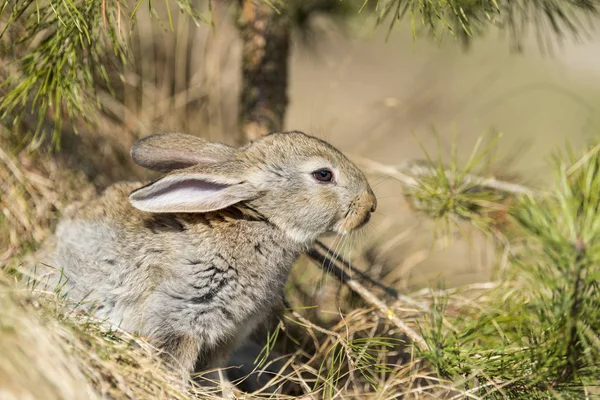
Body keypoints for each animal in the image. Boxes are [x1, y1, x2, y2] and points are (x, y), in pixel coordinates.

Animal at [38, 131, 376, 388]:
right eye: (323, 174)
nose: (370, 206)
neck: (262, 221)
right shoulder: (181, 315)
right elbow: (175, 361)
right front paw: (176, 388)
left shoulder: (228, 335)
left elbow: (214, 371)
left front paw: (224, 392)